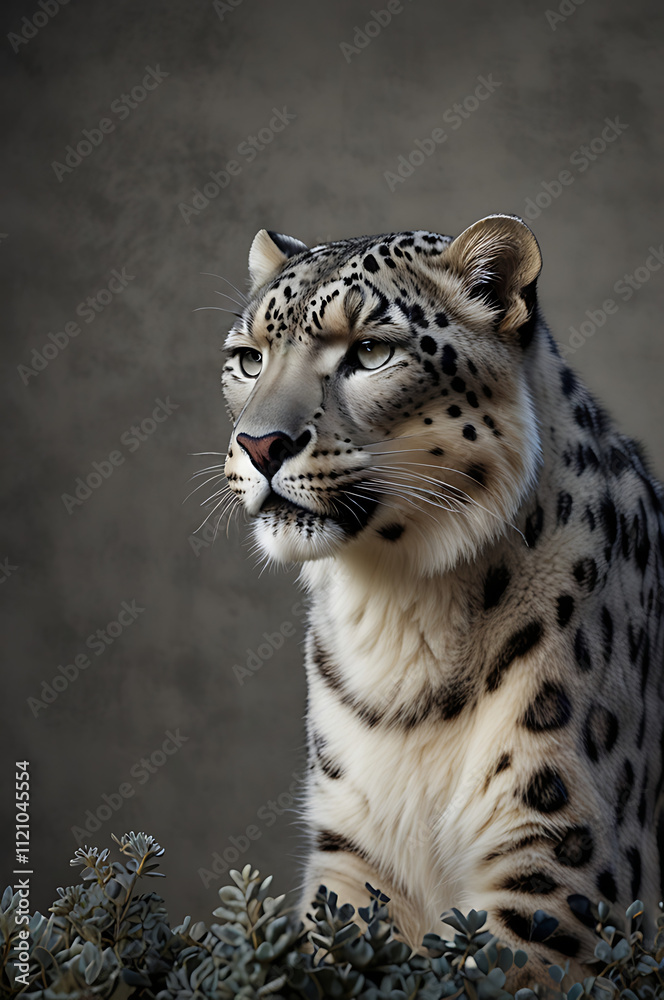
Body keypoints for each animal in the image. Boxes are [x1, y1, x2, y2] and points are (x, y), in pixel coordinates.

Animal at [218, 214, 664, 987]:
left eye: (370, 350)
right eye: (248, 358)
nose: (260, 443)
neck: (396, 612)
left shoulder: (558, 873)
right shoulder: (352, 854)